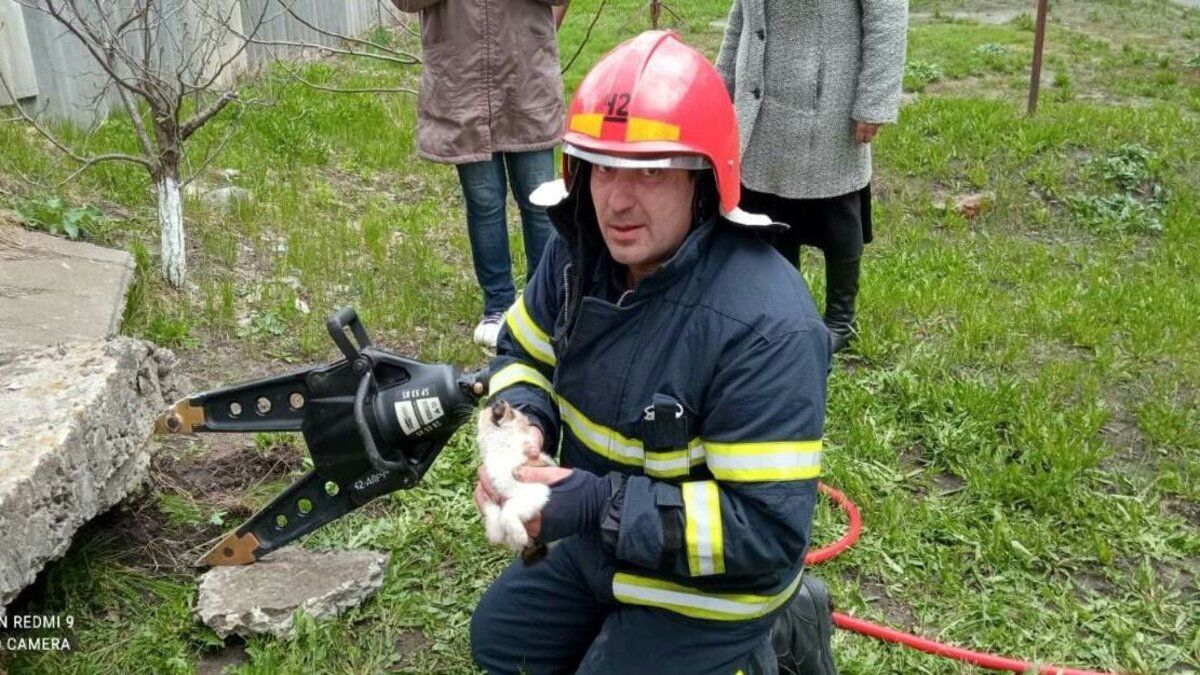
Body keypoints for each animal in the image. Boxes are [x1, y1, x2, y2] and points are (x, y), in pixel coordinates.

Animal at [475, 396, 554, 550]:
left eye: (512, 413)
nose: (499, 400)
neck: (501, 450)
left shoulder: (536, 491)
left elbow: (506, 512)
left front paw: (519, 535)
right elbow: (495, 520)